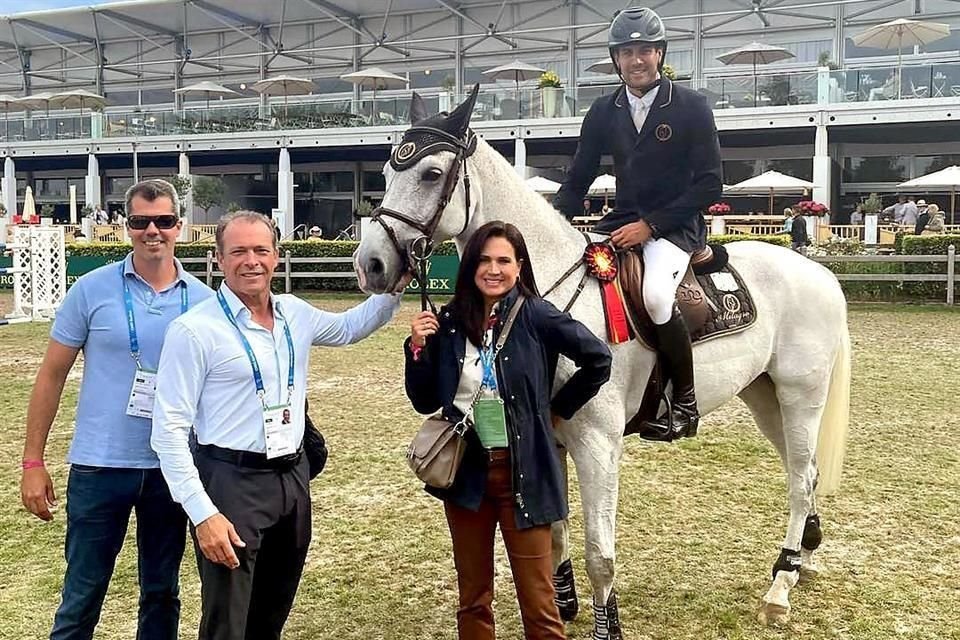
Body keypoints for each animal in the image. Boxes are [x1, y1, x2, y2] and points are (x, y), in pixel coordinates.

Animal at [356, 92, 852, 636]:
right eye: (385, 171)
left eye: (429, 173)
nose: (370, 265)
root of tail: (821, 272)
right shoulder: (546, 436)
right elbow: (552, 532)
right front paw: (561, 601)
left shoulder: (597, 444)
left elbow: (601, 554)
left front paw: (604, 621)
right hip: (764, 395)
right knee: (803, 472)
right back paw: (804, 559)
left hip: (801, 397)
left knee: (800, 479)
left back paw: (780, 585)